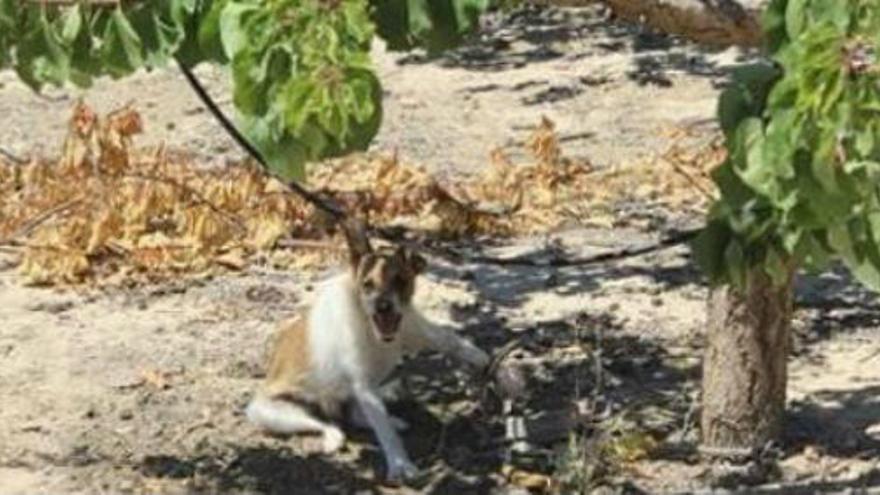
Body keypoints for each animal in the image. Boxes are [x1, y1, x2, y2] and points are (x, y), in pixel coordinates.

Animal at [246, 219, 488, 482]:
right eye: (367, 285)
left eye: (400, 281)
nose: (383, 307)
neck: (373, 332)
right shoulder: (364, 387)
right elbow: (386, 433)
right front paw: (400, 463)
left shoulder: (415, 331)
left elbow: (450, 339)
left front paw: (480, 357)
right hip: (274, 413)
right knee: (327, 424)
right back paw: (333, 438)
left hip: (350, 399)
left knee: (356, 416)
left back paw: (391, 417)